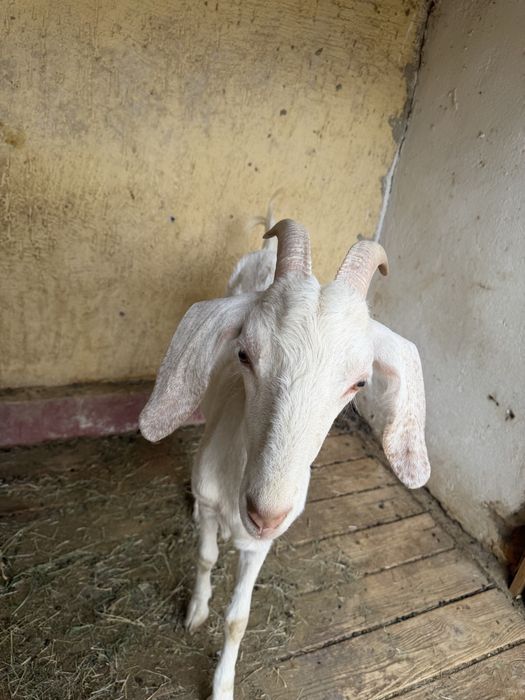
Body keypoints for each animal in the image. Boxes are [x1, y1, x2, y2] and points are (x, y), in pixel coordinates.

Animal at [139, 217, 431, 700]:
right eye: (244, 353)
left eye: (360, 382)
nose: (267, 513)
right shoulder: (212, 504)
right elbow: (205, 558)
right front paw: (195, 612)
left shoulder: (261, 546)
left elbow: (238, 619)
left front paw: (222, 686)